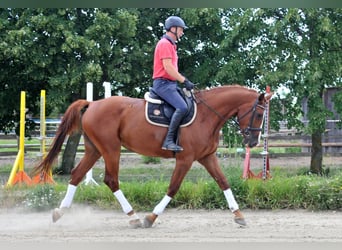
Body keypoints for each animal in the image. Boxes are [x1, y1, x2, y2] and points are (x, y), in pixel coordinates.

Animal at [32, 85, 272, 229]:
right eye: (260, 113)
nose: (253, 142)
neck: (206, 115)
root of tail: (93, 104)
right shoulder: (185, 159)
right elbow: (173, 188)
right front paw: (151, 217)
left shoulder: (207, 157)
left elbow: (223, 182)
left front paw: (239, 215)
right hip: (111, 149)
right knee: (111, 180)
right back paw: (134, 217)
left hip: (94, 150)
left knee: (76, 174)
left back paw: (59, 212)